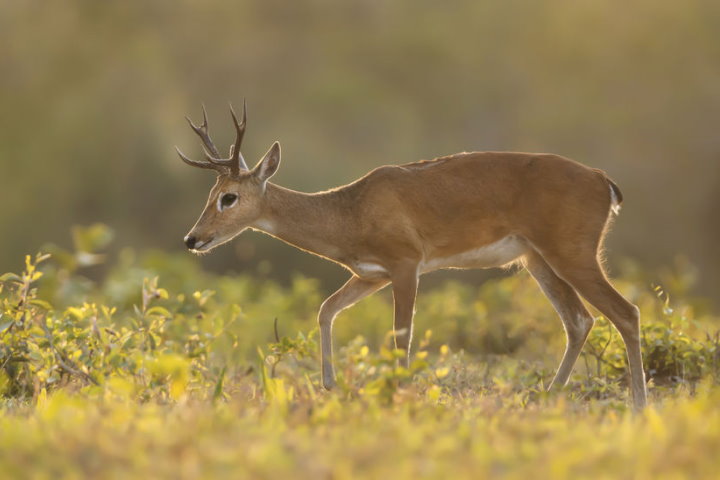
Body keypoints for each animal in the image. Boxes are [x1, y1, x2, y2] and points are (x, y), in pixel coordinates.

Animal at [179, 103, 648, 410]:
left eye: (228, 197)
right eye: (210, 193)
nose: (192, 238)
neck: (348, 211)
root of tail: (604, 181)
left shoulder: (406, 265)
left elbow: (400, 334)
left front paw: (398, 393)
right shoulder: (371, 274)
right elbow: (326, 309)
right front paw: (329, 386)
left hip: (573, 254)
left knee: (625, 312)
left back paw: (639, 404)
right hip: (537, 261)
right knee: (579, 320)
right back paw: (549, 396)